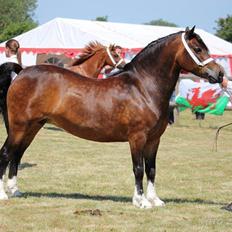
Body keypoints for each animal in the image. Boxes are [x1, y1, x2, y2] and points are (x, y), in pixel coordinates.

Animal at [0, 26, 223, 208]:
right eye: (197, 49)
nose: (220, 73)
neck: (143, 87)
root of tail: (22, 72)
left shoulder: (154, 140)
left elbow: (151, 169)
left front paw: (155, 200)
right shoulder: (137, 138)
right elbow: (138, 168)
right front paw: (141, 201)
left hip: (33, 127)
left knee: (17, 155)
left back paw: (15, 190)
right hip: (19, 126)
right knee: (6, 153)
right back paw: (4, 195)